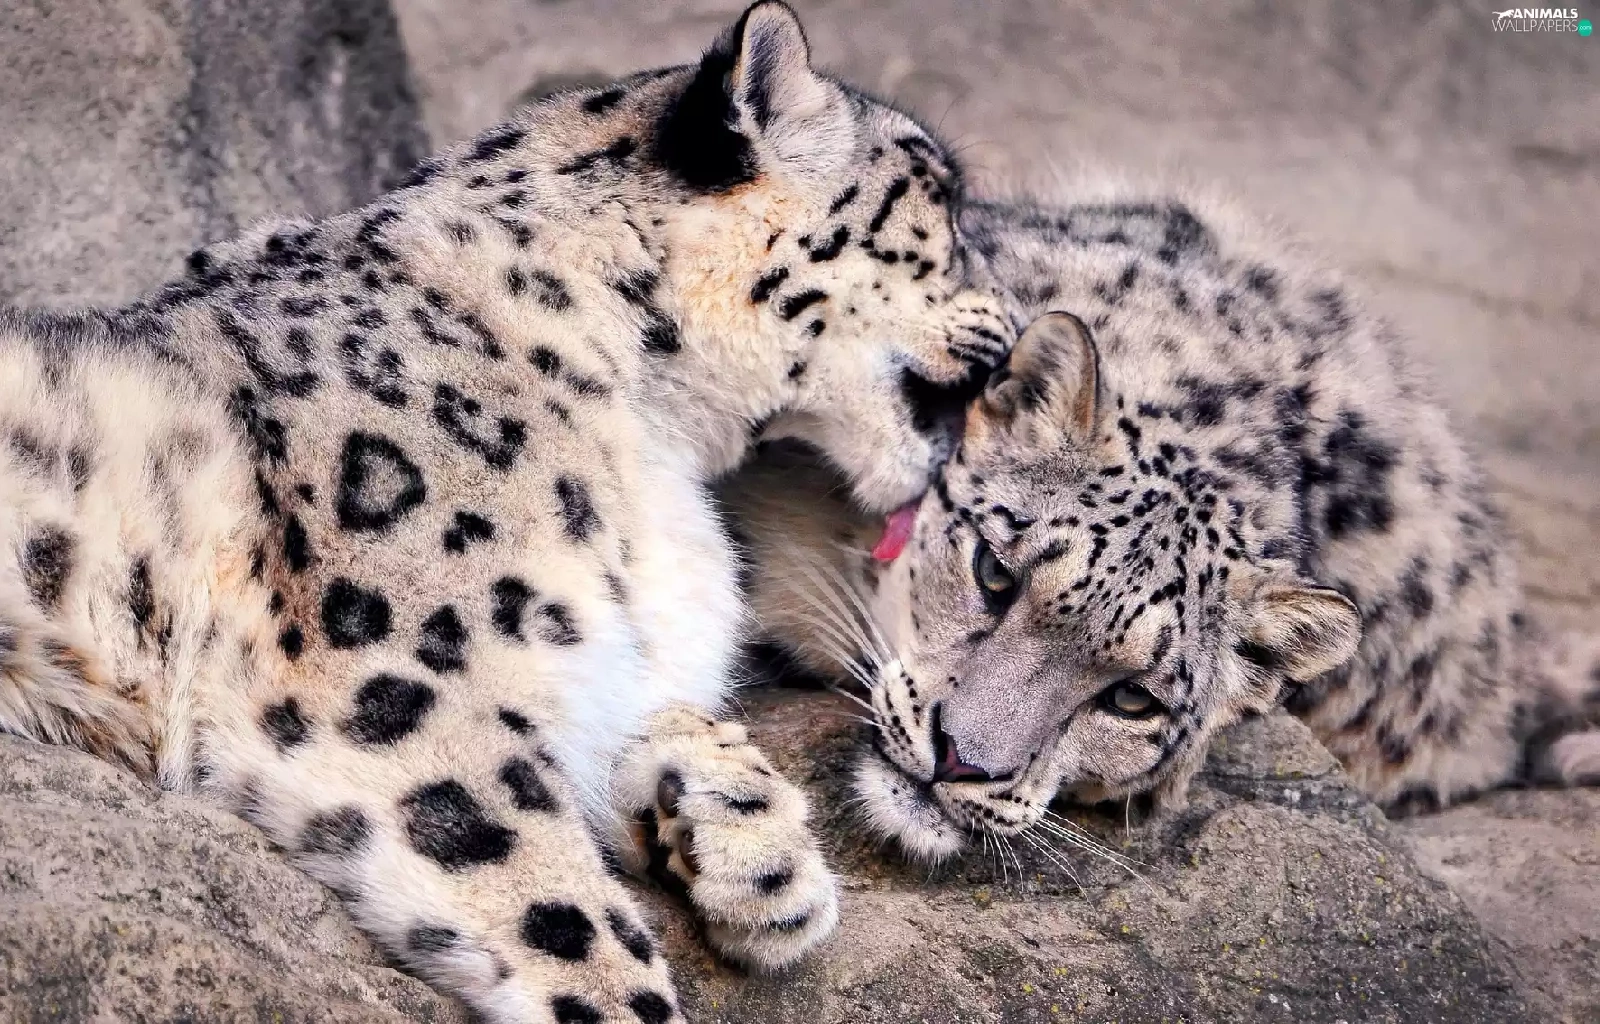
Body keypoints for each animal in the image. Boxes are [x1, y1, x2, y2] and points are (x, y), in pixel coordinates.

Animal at [0, 4, 1015, 1019]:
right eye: (941, 199)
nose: (1015, 318)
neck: (658, 442)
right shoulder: (401, 686)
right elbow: (556, 903)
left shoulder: (592, 659)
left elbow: (653, 715)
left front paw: (762, 854)